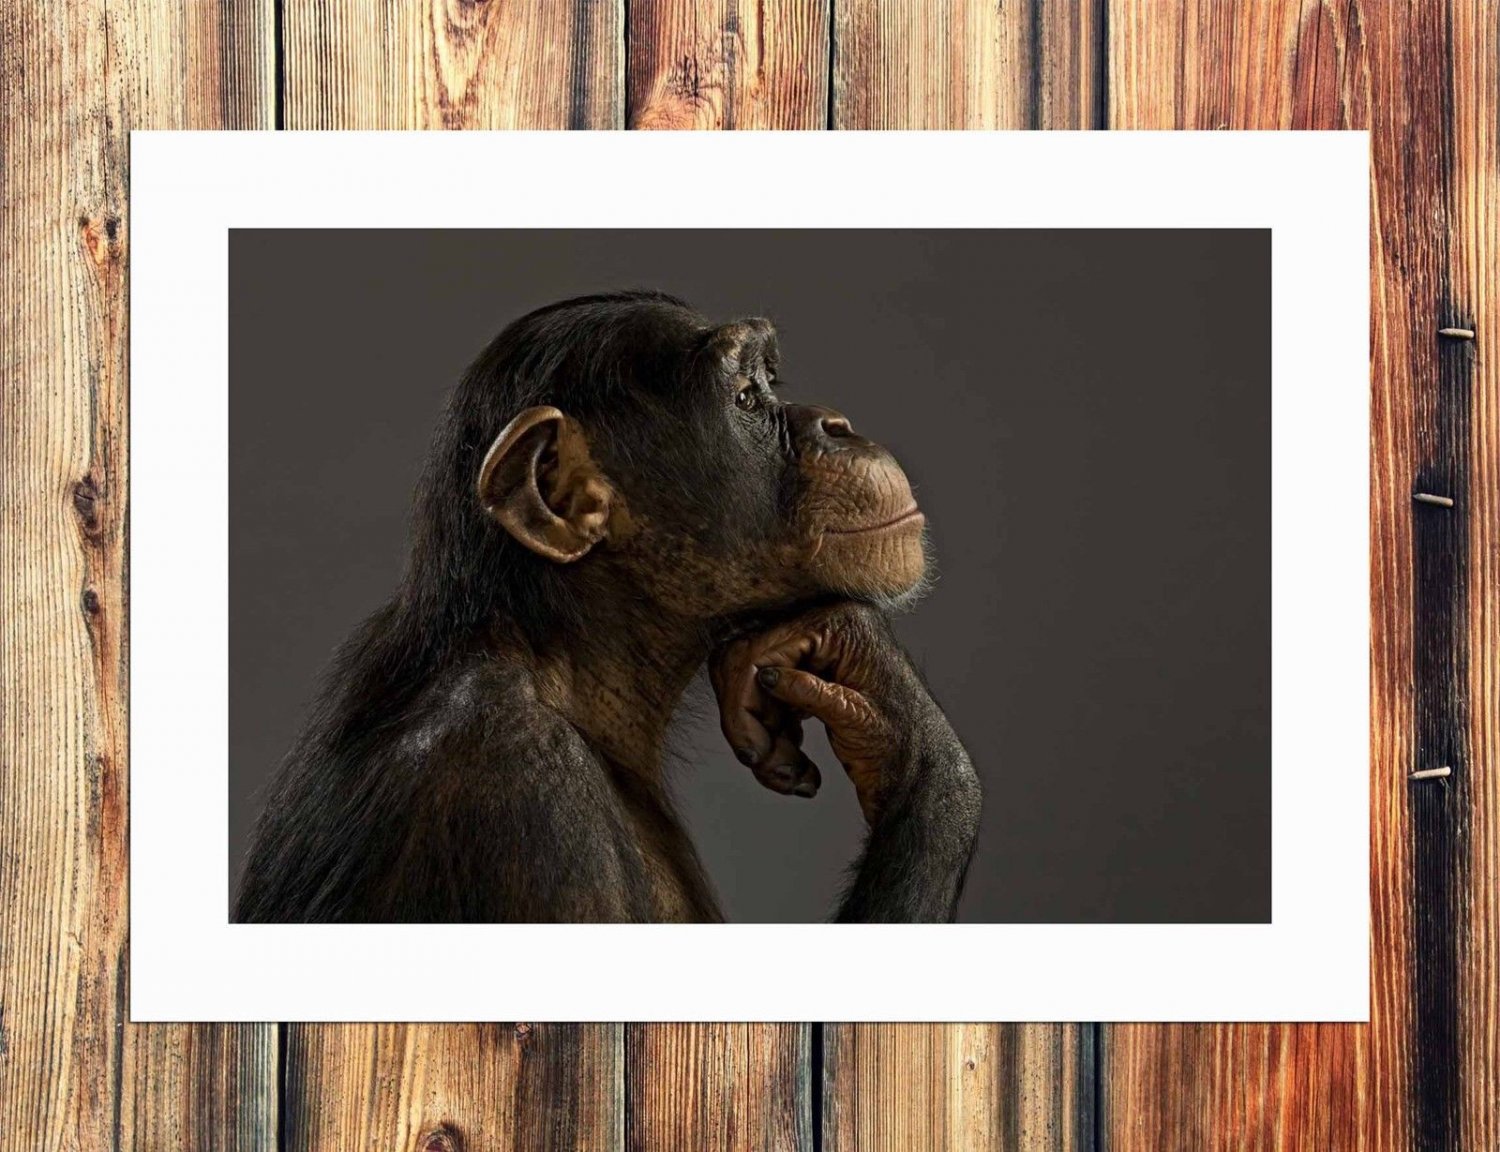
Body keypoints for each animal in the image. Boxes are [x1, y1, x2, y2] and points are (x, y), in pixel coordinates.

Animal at [234, 290, 981, 923]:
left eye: (771, 383)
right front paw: (903, 719)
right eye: (745, 397)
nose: (838, 424)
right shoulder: (521, 803)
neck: (558, 660)